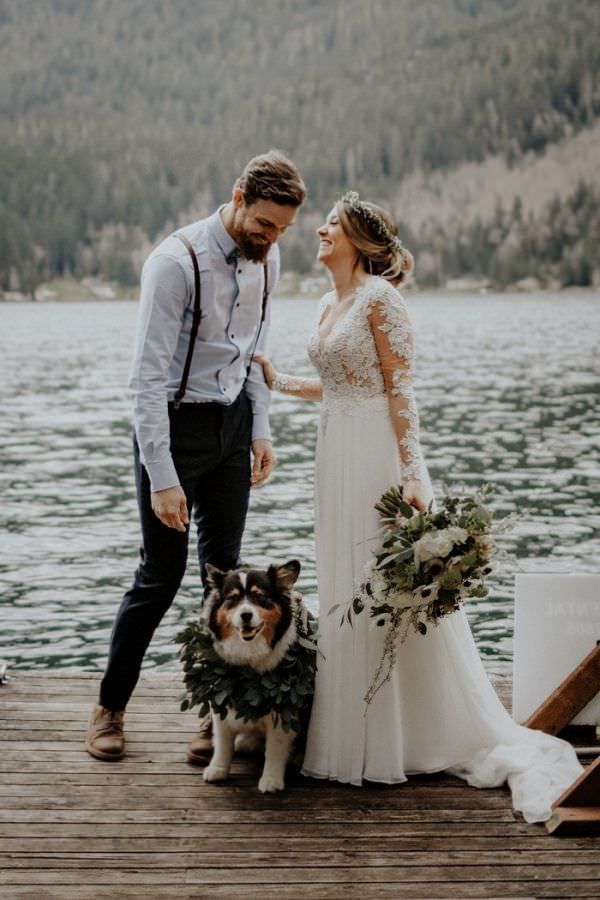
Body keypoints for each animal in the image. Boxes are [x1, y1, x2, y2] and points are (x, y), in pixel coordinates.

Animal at [202, 560, 304, 792]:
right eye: (232, 598)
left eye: (259, 596)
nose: (246, 615)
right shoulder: (222, 701)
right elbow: (222, 742)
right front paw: (218, 769)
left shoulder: (283, 710)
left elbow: (275, 749)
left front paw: (271, 780)